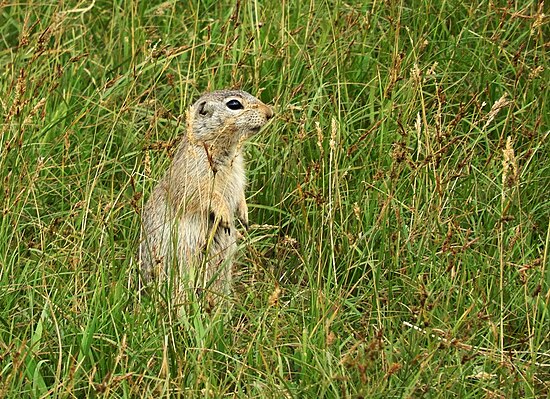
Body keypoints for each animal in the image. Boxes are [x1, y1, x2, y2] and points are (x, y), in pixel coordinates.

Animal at [140, 90, 274, 304]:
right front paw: (225, 216)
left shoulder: (238, 174)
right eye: (234, 104)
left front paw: (243, 215)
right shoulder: (193, 173)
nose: (270, 113)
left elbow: (239, 194)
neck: (224, 150)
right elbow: (204, 195)